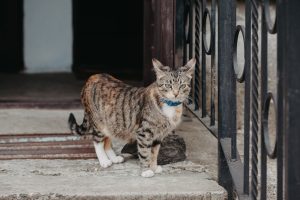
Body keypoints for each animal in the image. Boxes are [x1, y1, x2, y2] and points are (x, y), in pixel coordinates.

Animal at [67, 57, 195, 177]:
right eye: (168, 85)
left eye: (182, 85)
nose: (176, 94)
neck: (170, 106)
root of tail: (93, 76)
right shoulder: (144, 133)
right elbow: (145, 153)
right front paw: (146, 171)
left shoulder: (159, 136)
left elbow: (154, 153)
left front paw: (153, 167)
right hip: (99, 122)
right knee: (97, 141)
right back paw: (104, 160)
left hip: (112, 121)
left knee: (107, 139)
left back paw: (114, 158)